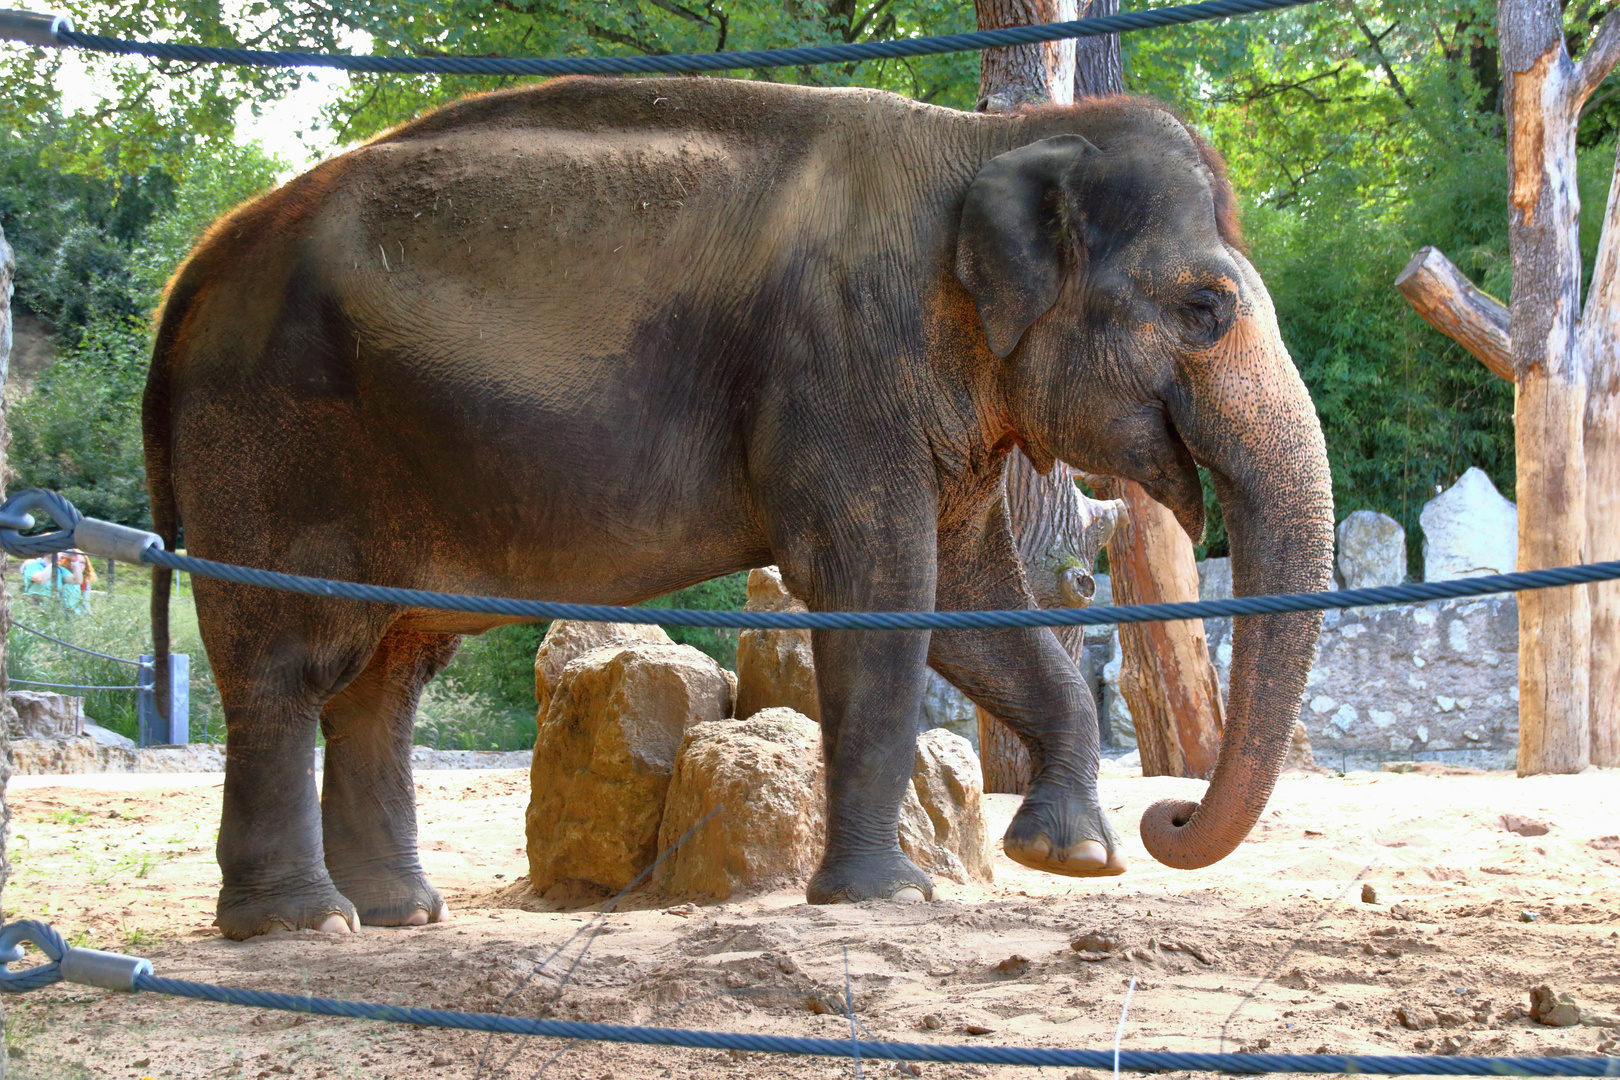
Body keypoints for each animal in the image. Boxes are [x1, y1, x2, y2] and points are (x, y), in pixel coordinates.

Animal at [142, 76, 1328, 939]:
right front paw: (888, 898)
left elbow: (974, 598)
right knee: (286, 666)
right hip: (273, 442)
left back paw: (397, 915)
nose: (1170, 814)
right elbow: (880, 591)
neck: (993, 139)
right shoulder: (839, 366)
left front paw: (1070, 858)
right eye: (1206, 308)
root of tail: (192, 271)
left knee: (386, 676)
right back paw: (301, 927)